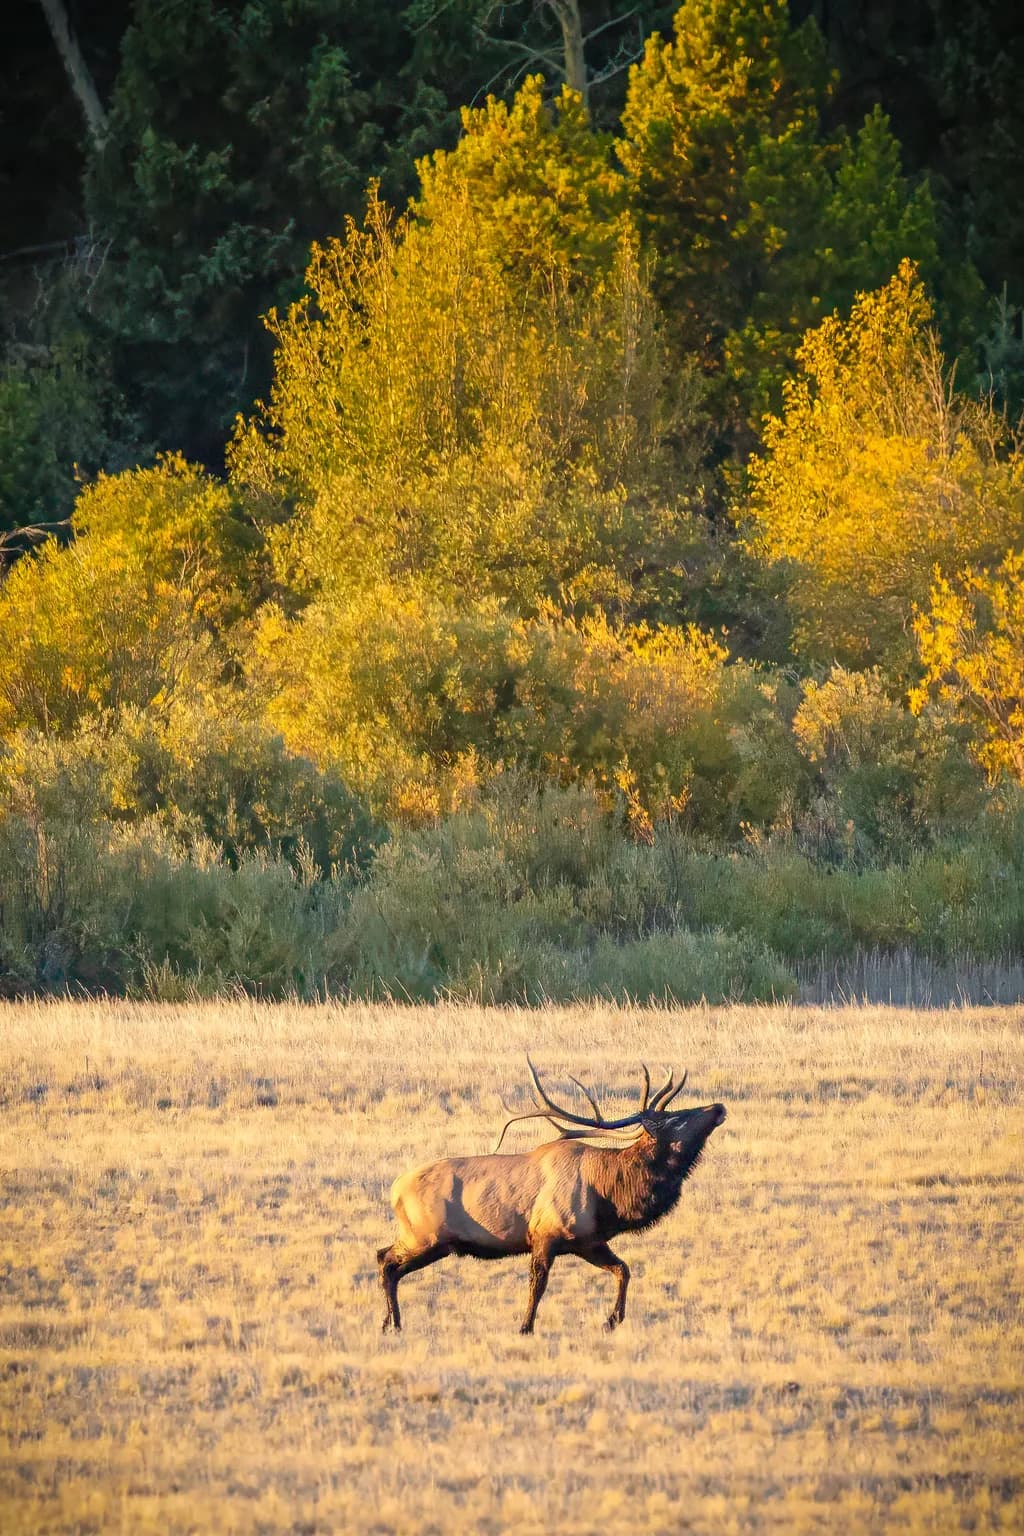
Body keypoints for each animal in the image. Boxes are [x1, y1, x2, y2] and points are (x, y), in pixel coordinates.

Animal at [377, 1059, 726, 1334]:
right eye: (676, 1119)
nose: (719, 1107)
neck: (609, 1198)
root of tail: (395, 1188)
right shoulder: (545, 1234)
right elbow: (538, 1285)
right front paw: (525, 1327)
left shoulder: (588, 1241)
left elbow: (623, 1270)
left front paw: (612, 1320)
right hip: (426, 1235)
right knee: (387, 1261)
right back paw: (393, 1323)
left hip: (427, 1239)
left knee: (383, 1256)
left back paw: (387, 1321)